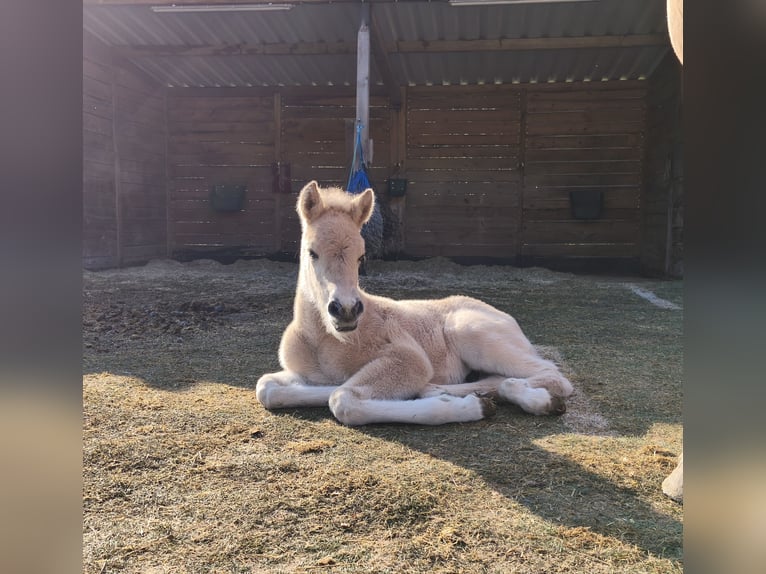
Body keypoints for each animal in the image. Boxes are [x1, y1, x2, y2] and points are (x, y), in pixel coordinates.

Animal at [256, 181, 573, 426]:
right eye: (312, 253)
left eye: (361, 256)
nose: (346, 311)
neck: (322, 340)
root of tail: (504, 316)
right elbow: (266, 387)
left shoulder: (409, 359)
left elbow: (344, 399)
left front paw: (470, 407)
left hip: (472, 332)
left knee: (551, 374)